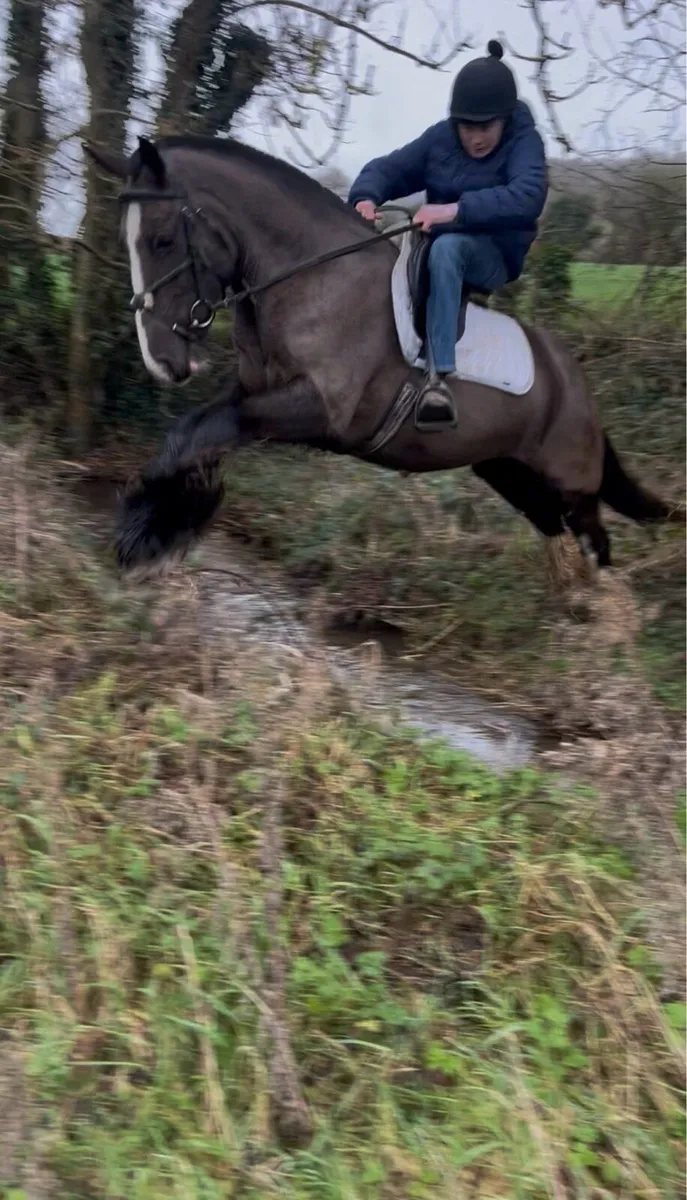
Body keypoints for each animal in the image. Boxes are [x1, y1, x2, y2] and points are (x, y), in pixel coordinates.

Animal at [83, 134, 679, 579]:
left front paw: (149, 532)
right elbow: (193, 433)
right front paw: (158, 523)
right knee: (559, 533)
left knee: (595, 542)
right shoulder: (255, 393)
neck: (312, 279)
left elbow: (199, 434)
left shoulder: (317, 409)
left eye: (162, 241)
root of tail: (576, 382)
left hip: (572, 486)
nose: (160, 358)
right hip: (511, 474)